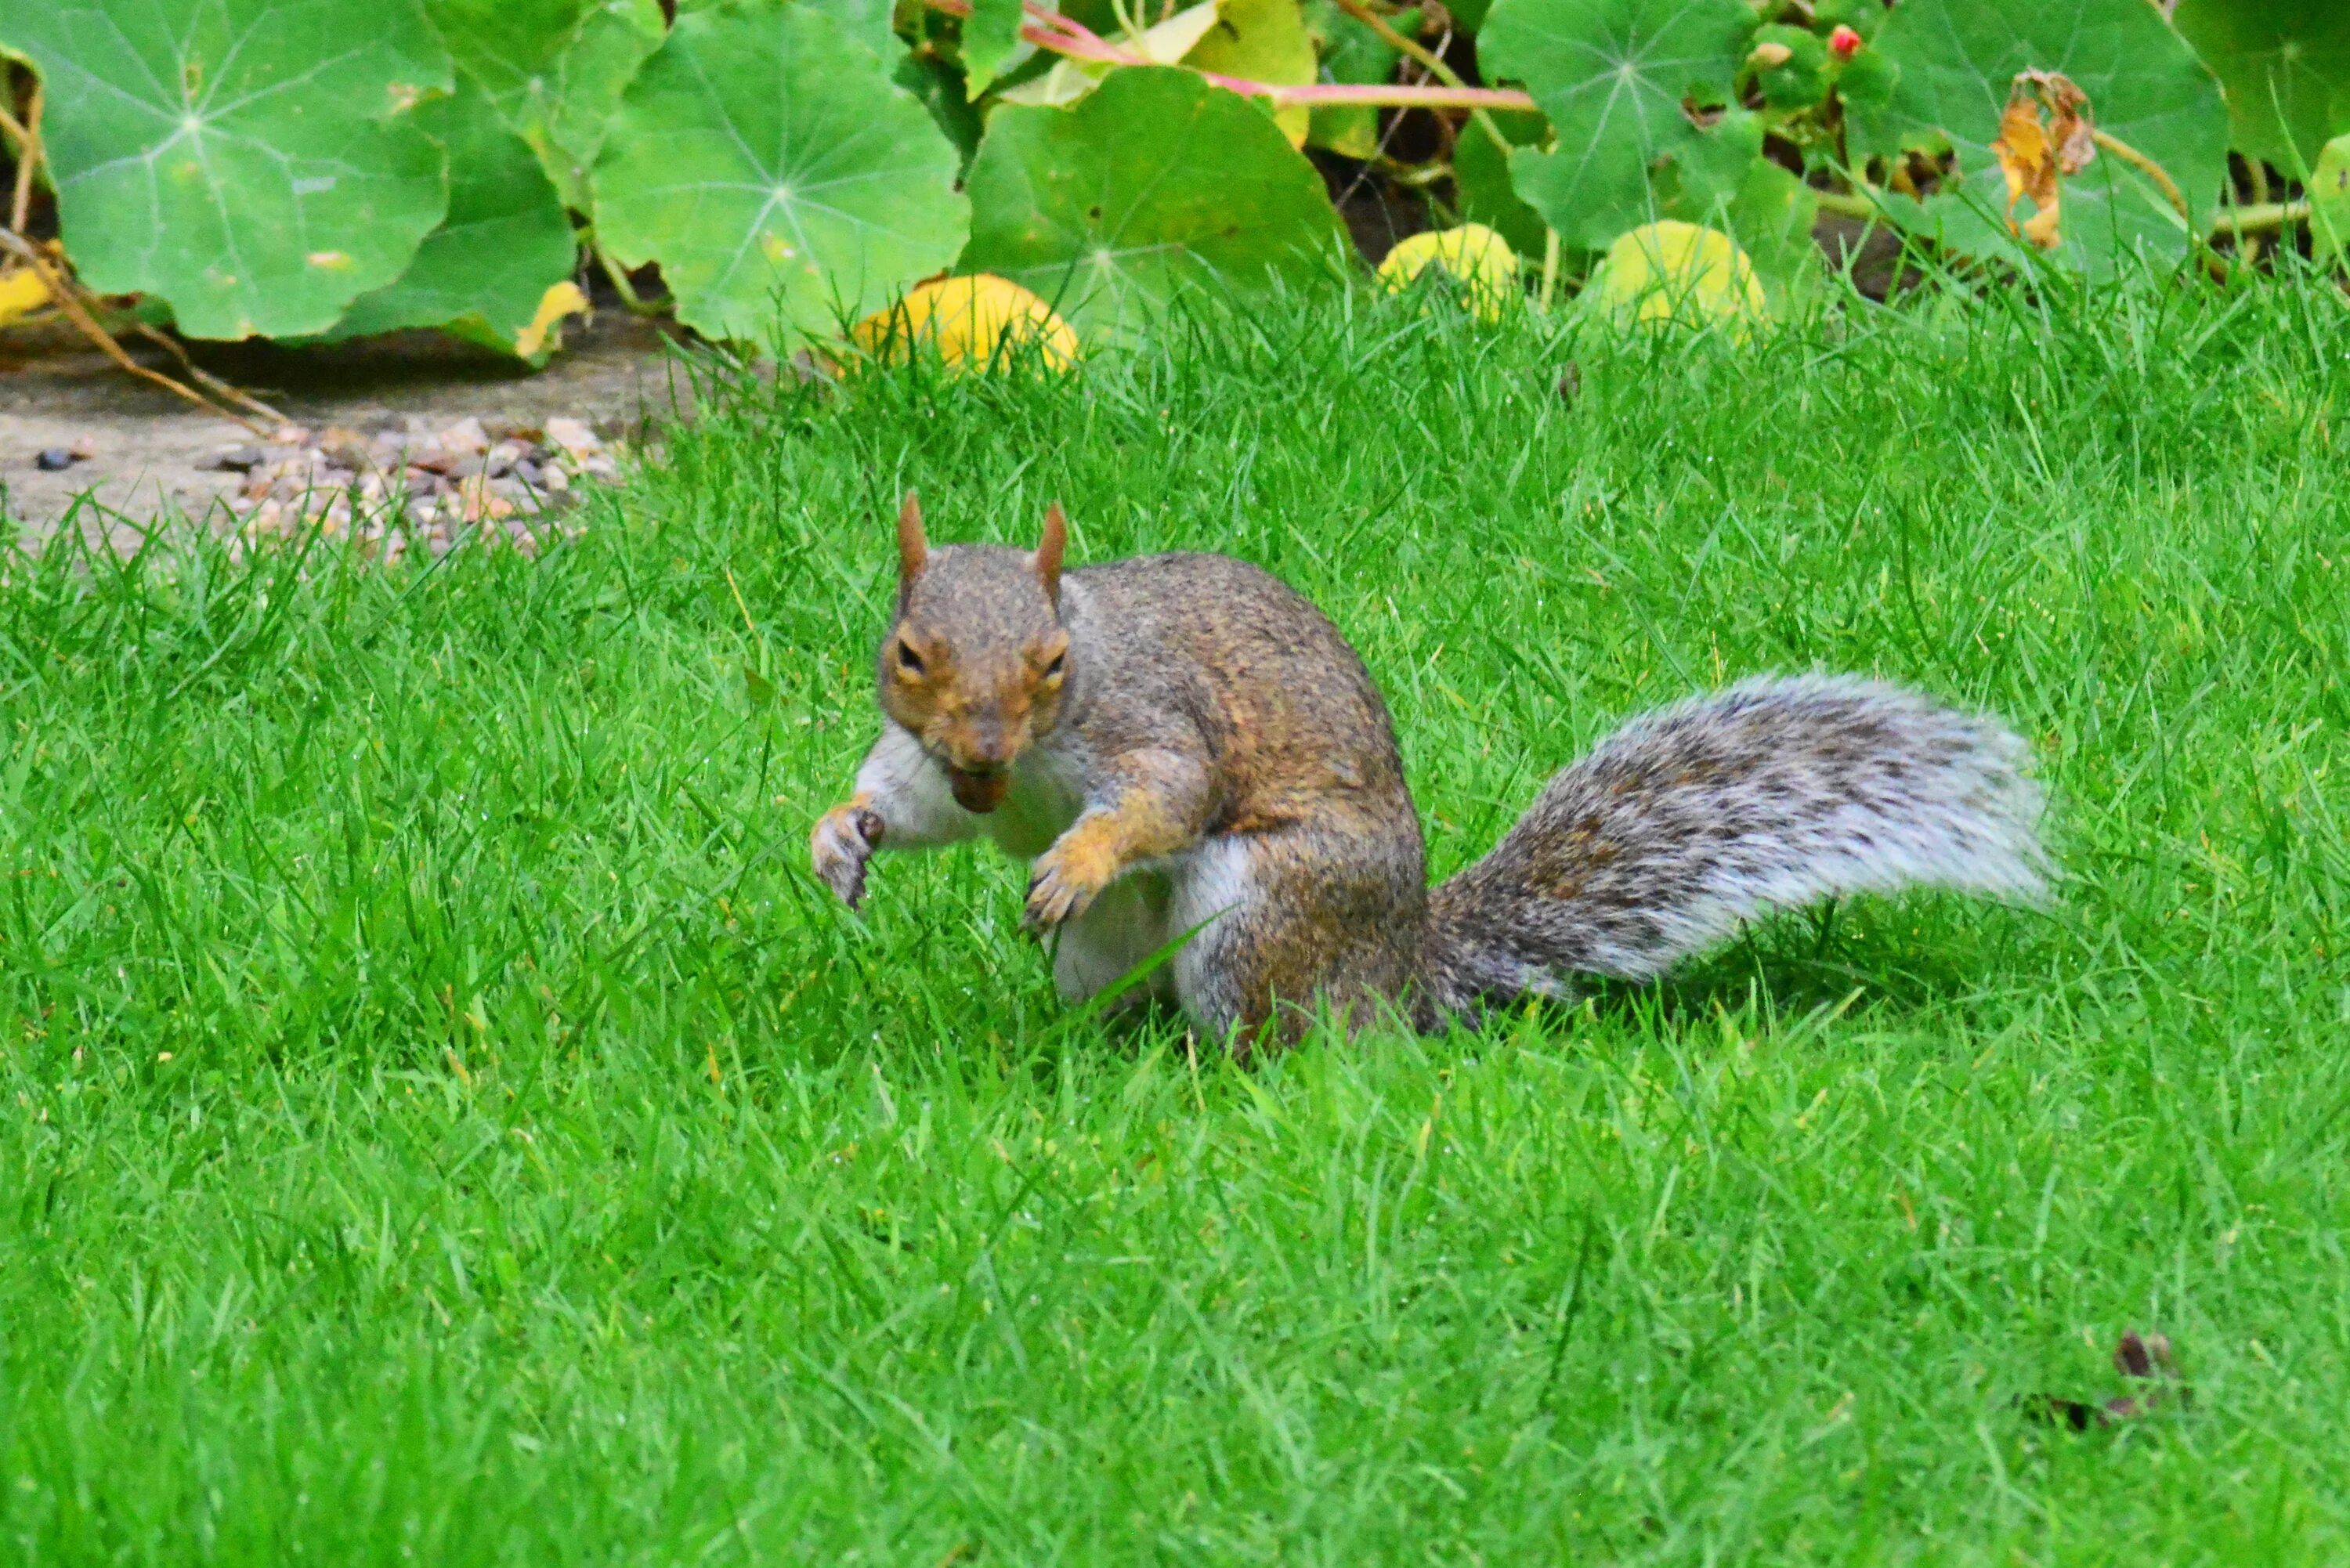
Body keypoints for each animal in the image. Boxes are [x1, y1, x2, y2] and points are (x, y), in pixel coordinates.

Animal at [818, 496, 2049, 1048]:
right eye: (908, 651)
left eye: (1053, 661)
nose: (984, 751)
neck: (1028, 760)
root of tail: (1403, 961)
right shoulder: (932, 761)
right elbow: (910, 805)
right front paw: (840, 836)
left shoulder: (1156, 724)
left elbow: (1164, 798)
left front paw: (1079, 855)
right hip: (1107, 955)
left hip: (1260, 907)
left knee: (1281, 1029)